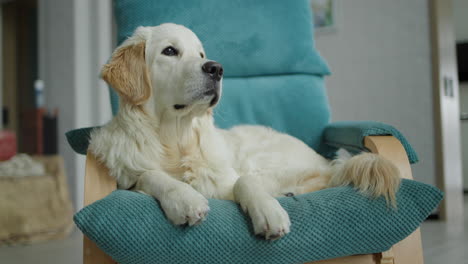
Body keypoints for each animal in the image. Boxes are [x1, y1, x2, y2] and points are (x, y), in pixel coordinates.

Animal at [89, 23, 400, 240]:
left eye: (201, 54)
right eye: (169, 51)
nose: (216, 68)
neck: (176, 140)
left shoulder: (228, 180)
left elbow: (244, 182)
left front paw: (268, 212)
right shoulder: (129, 179)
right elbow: (150, 175)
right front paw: (184, 199)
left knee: (325, 175)